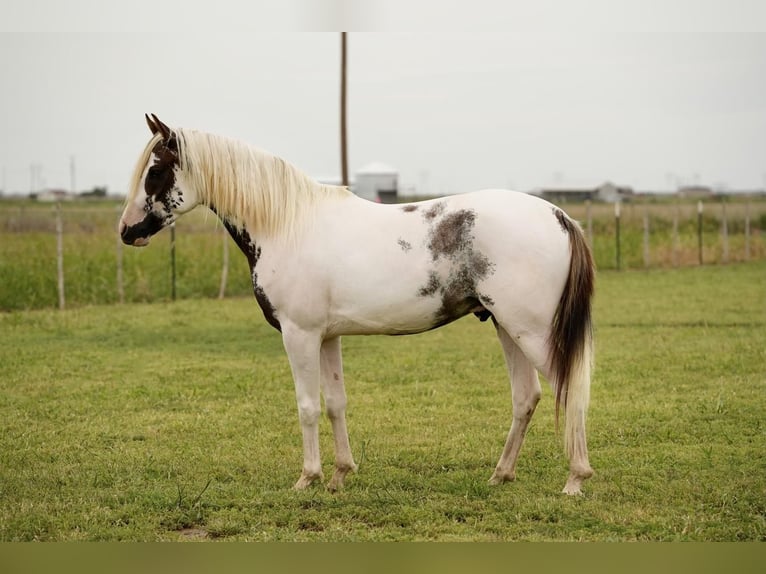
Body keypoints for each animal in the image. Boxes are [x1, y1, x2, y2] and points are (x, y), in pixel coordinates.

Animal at [121, 113, 600, 496]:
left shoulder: (299, 335)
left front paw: (307, 479)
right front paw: (340, 475)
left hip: (530, 331)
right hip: (505, 326)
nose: (127, 231)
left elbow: (307, 405)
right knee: (526, 396)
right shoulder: (326, 337)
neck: (287, 225)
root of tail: (559, 216)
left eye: (156, 169)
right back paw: (501, 475)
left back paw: (575, 480)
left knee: (569, 386)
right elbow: (336, 402)